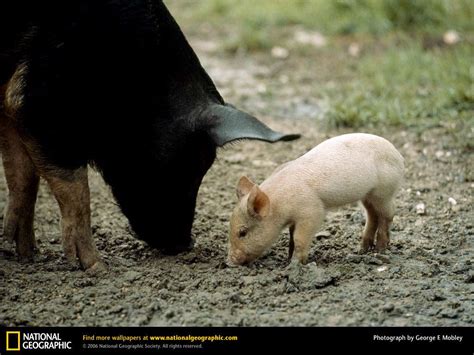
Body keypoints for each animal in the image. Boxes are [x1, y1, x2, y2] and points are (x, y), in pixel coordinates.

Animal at [0, 0, 298, 272]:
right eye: (190, 164)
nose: (184, 244)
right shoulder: (41, 98)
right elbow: (75, 188)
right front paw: (96, 267)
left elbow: (23, 175)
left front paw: (25, 253)